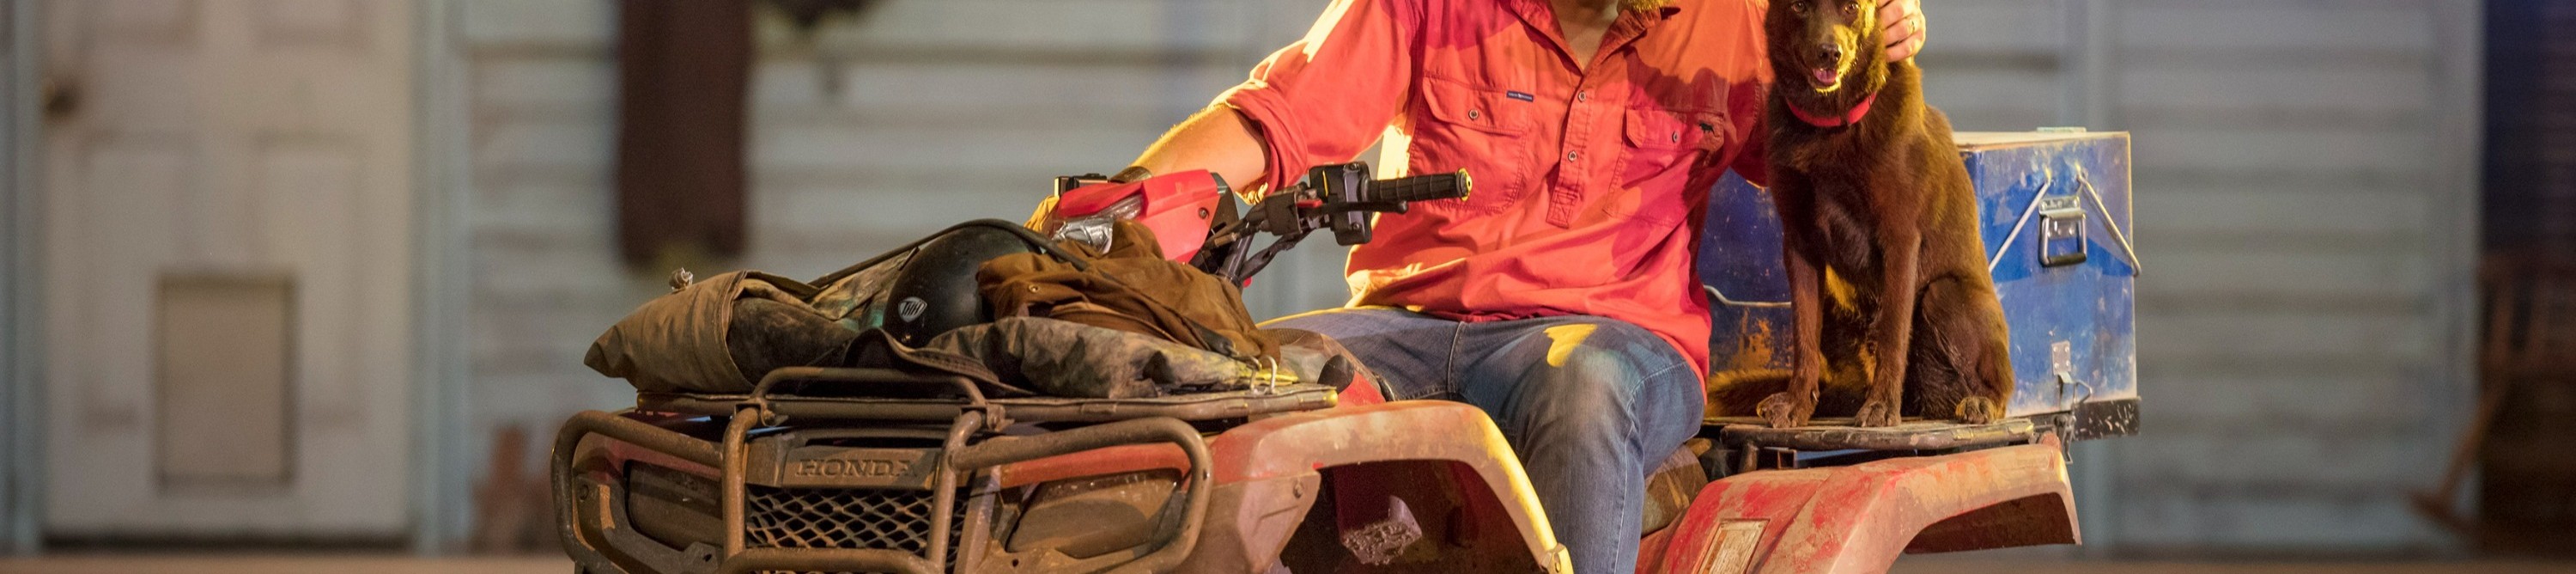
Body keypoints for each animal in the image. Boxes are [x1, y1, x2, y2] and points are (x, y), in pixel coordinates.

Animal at [1752, 0, 2009, 427]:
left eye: (1851, 7)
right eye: (1800, 6)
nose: (1829, 53)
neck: (1828, 126)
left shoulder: (1900, 241)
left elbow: (1892, 334)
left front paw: (1882, 406)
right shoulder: (1799, 243)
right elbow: (1803, 337)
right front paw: (1796, 403)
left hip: (1945, 294)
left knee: (2001, 387)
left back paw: (1979, 403)